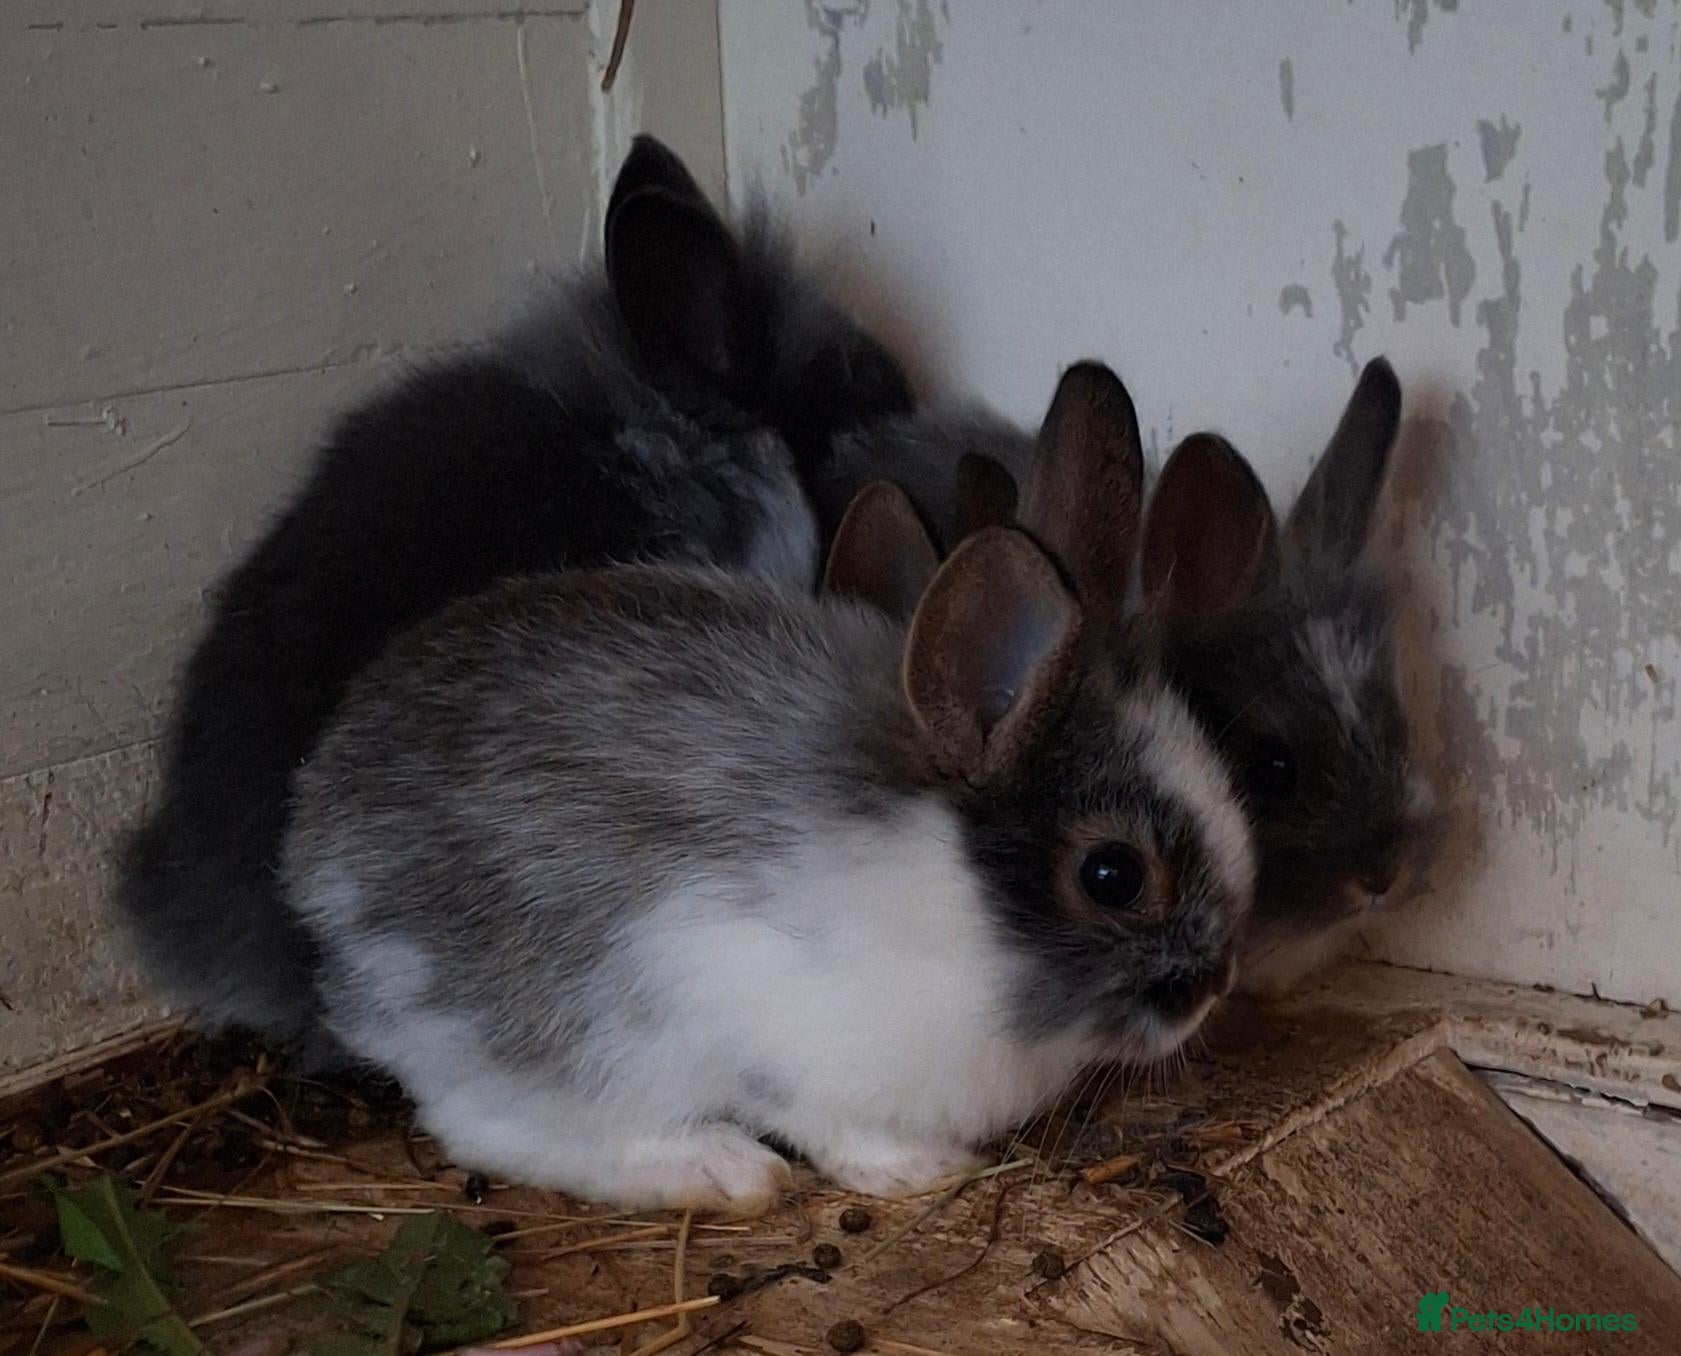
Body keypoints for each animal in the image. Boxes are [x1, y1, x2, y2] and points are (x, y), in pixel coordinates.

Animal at [279, 362, 1255, 1209]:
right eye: (1111, 876)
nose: (1215, 986)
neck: (955, 903)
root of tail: (315, 853)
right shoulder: (752, 1009)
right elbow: (826, 1121)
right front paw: (919, 1169)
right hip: (570, 1033)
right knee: (489, 1124)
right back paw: (721, 1170)